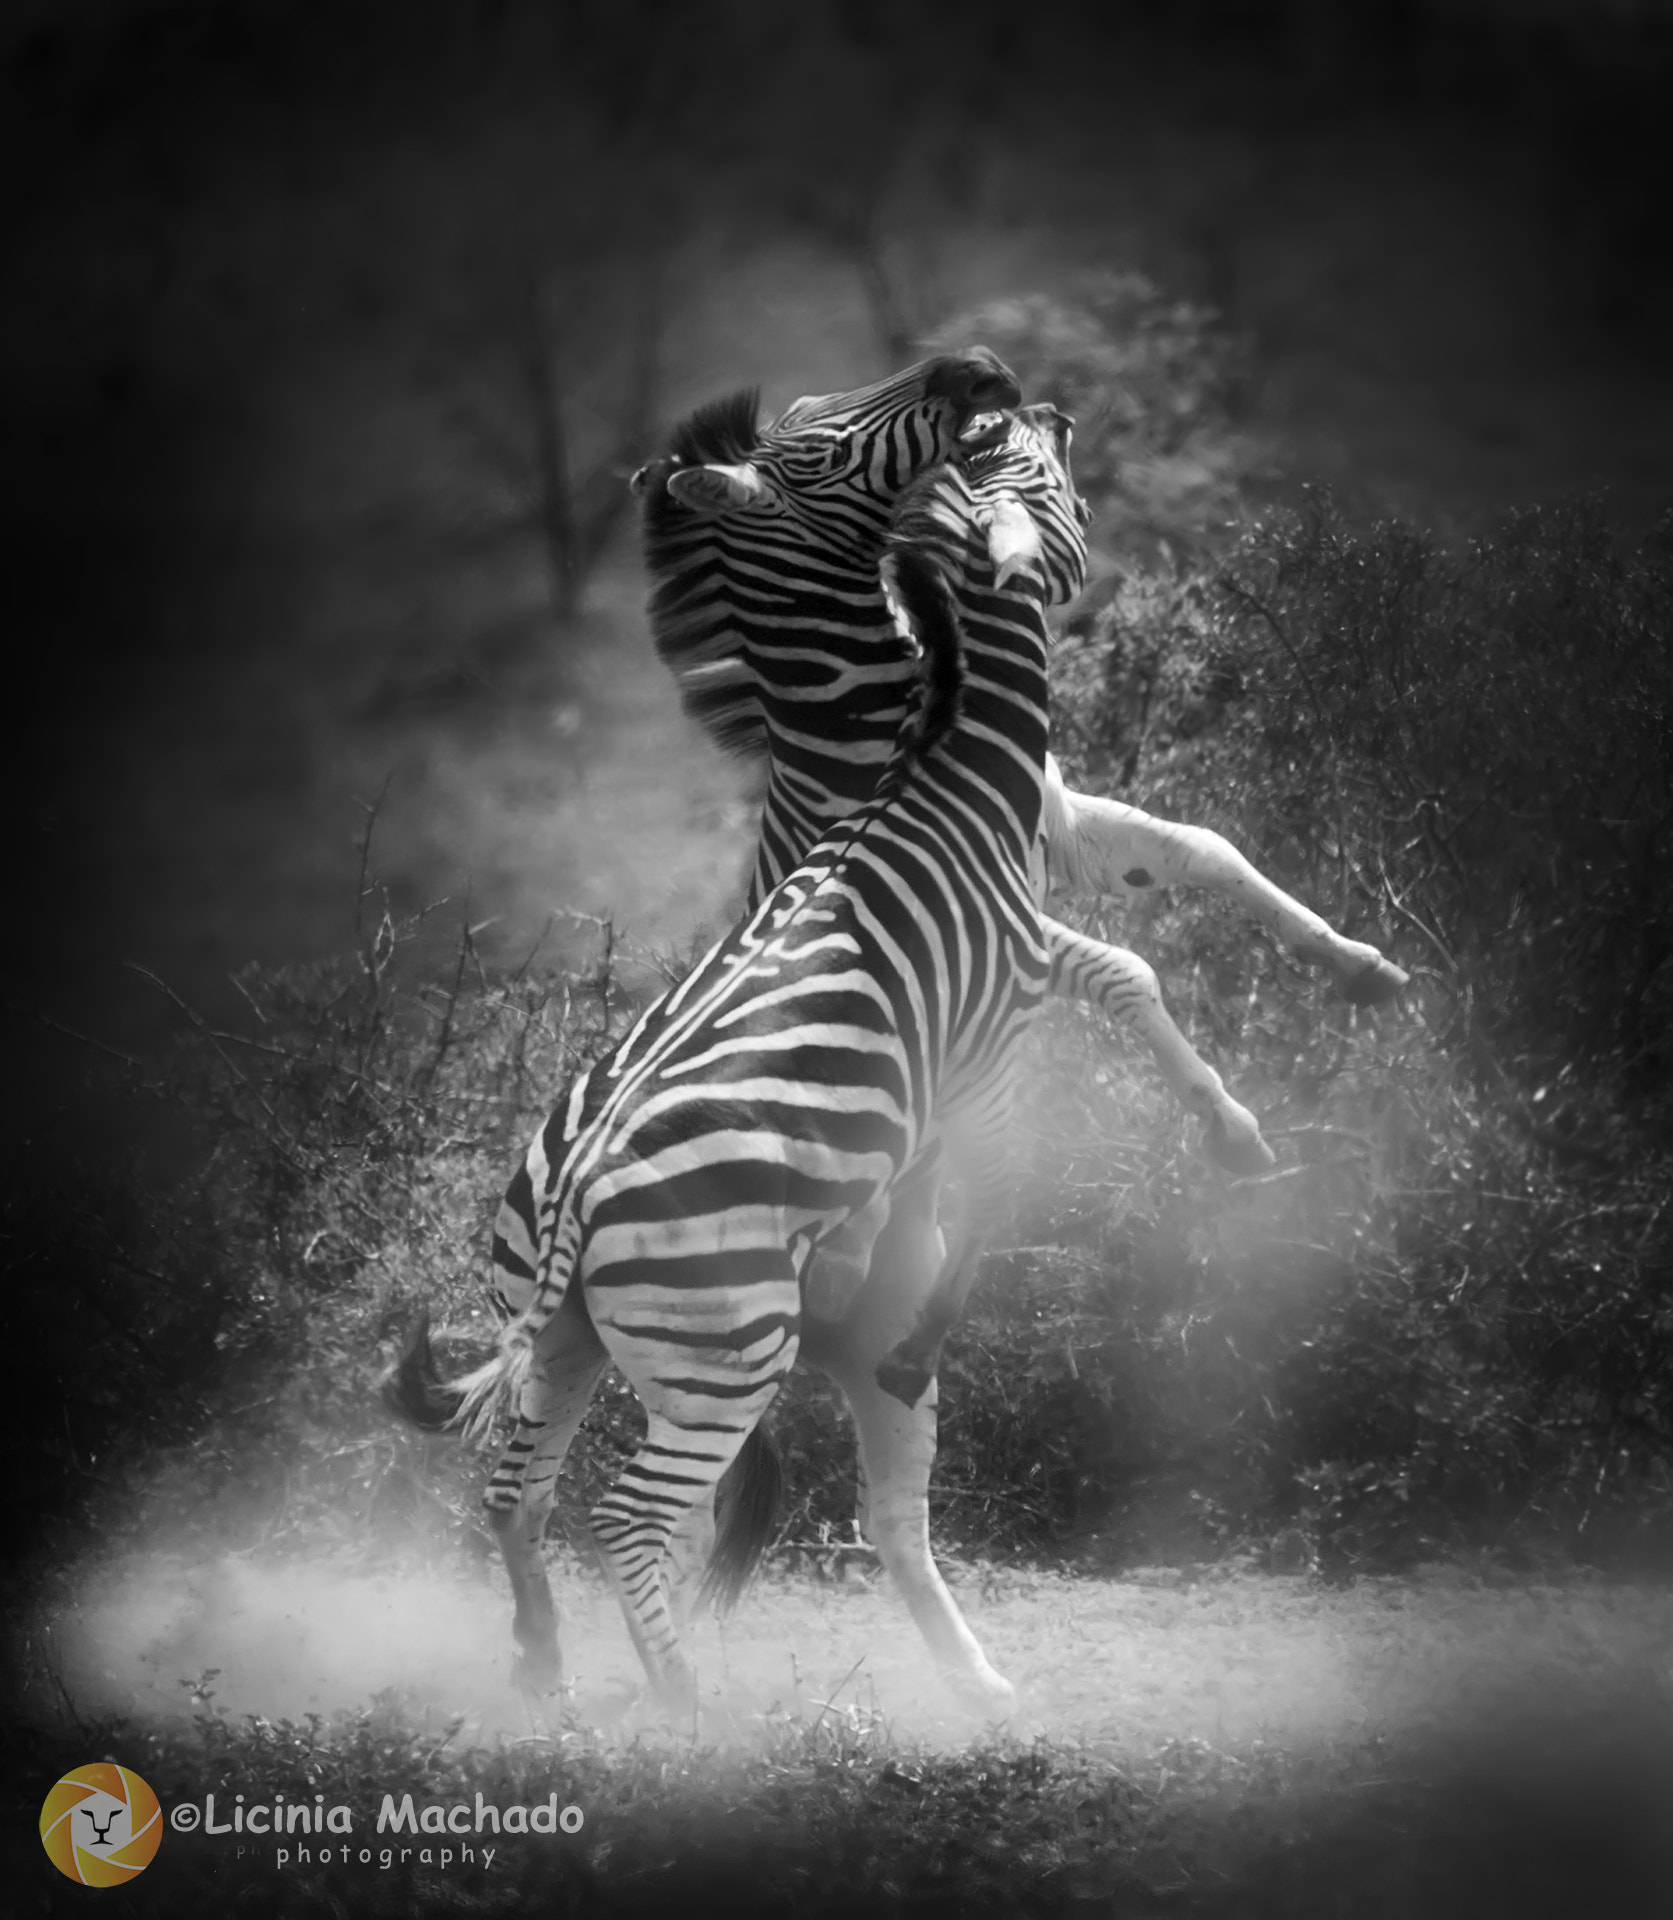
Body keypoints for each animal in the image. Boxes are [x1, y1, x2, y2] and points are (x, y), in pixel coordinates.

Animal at [389, 404, 1089, 1710]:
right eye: (1044, 477)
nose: (1045, 410)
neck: (947, 764)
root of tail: (569, 1194)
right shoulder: (993, 1061)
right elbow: (989, 1213)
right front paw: (922, 1336)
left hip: (557, 1340)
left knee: (519, 1493)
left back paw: (546, 1668)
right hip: (722, 1354)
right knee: (625, 1516)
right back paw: (691, 1712)